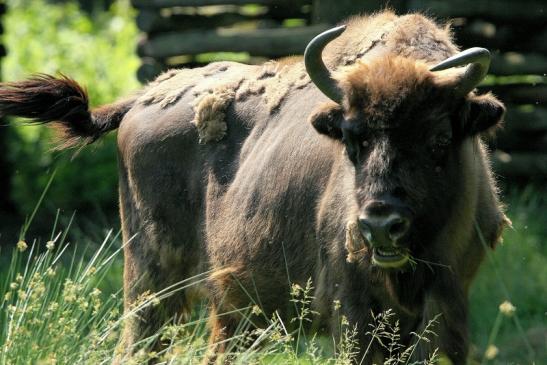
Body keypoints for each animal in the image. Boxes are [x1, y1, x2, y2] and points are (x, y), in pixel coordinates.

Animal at [0, 10, 510, 362]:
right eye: (351, 138)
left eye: (439, 139)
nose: (381, 225)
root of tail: (142, 99)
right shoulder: (353, 311)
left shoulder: (450, 305)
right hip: (151, 283)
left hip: (233, 308)